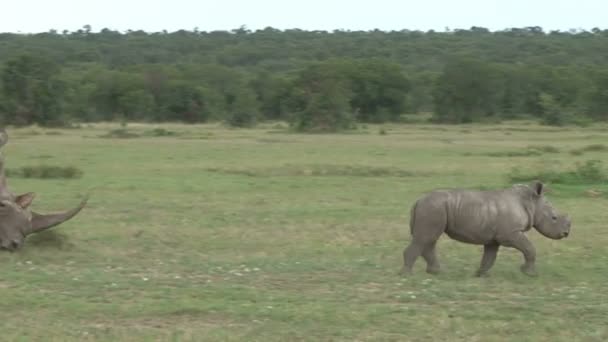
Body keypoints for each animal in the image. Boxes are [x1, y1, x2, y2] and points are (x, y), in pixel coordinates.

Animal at [402, 180, 572, 276]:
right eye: (554, 218)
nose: (566, 233)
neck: (530, 203)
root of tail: (418, 201)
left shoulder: (494, 238)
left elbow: (490, 256)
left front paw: (480, 274)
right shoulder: (510, 234)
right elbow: (529, 248)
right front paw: (530, 274)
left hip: (433, 208)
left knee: (429, 240)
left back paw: (436, 272)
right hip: (433, 208)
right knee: (426, 238)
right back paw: (407, 275)